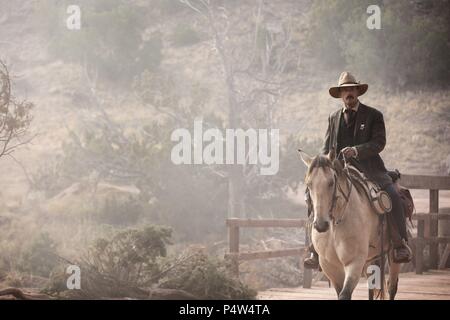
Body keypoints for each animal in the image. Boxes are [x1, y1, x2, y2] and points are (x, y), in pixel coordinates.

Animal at [298, 150, 400, 300]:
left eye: (331, 182)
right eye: (309, 184)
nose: (321, 225)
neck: (335, 226)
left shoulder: (354, 262)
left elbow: (345, 294)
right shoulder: (330, 266)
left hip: (392, 256)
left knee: (392, 286)